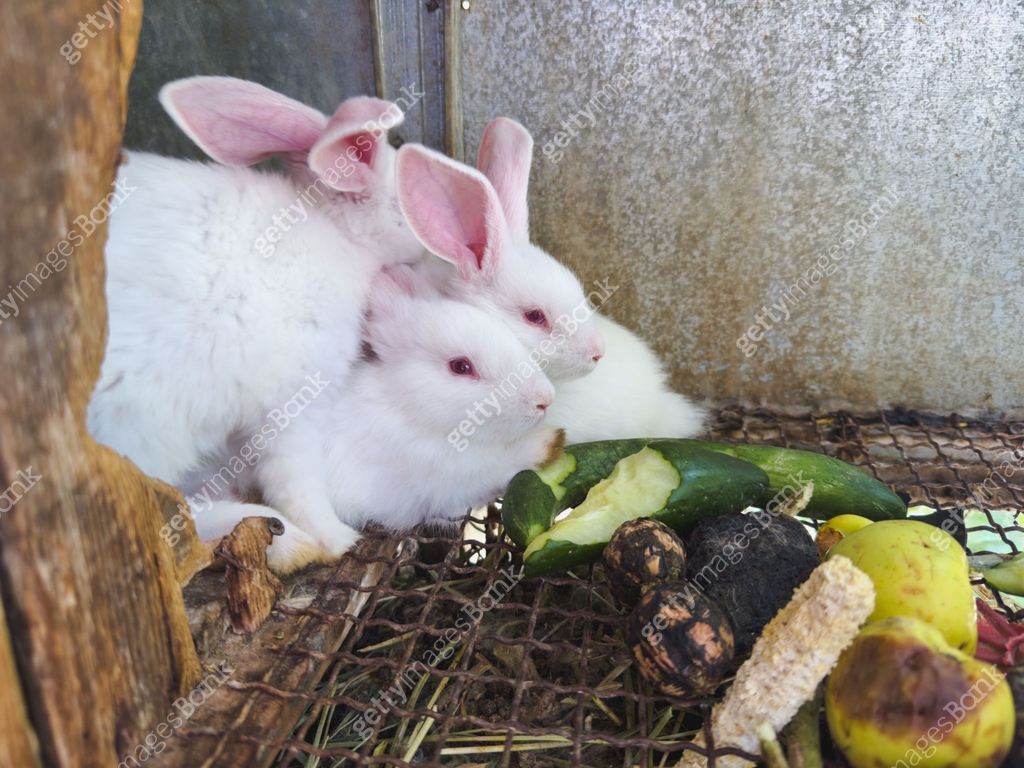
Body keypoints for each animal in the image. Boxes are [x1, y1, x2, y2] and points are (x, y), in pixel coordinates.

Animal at [87, 77, 425, 561]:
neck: (339, 236)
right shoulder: (294, 408)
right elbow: (296, 481)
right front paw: (337, 540)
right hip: (139, 429)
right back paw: (285, 539)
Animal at [192, 265, 566, 573]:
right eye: (461, 367)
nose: (544, 400)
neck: (404, 408)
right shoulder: (446, 479)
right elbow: (501, 465)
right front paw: (550, 441)